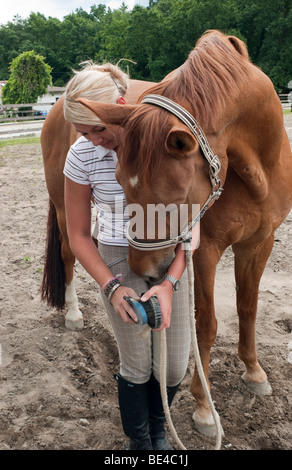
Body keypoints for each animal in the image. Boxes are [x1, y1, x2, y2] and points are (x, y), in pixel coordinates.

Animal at [76, 31, 290, 436]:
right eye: (120, 184)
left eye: (175, 198)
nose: (143, 272)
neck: (257, 168)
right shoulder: (204, 250)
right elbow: (205, 324)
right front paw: (205, 407)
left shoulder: (259, 243)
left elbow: (248, 307)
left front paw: (254, 372)